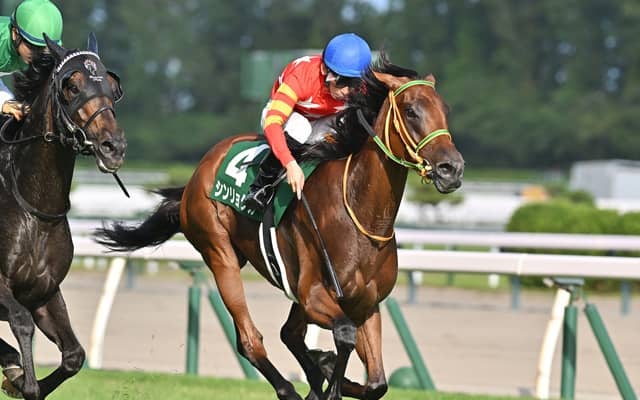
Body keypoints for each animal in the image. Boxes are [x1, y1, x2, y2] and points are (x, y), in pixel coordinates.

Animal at [0, 33, 125, 400]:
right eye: (71, 86)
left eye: (113, 86)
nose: (114, 147)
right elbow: (21, 322)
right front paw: (22, 378)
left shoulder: (45, 292)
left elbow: (74, 355)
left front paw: (20, 379)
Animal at [95, 53, 463, 400]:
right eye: (411, 111)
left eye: (445, 109)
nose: (452, 168)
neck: (361, 213)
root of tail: (199, 172)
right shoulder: (314, 295)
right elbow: (343, 336)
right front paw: (327, 375)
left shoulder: (365, 304)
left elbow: (377, 383)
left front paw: (326, 373)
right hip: (220, 253)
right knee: (249, 339)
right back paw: (290, 387)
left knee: (290, 333)